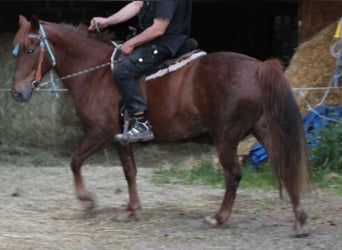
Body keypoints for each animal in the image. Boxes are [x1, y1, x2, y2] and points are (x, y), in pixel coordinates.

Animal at [10, 16, 312, 236]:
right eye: (16, 51)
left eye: (30, 50)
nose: (17, 93)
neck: (96, 73)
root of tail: (258, 67)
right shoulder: (121, 138)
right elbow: (130, 172)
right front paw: (132, 209)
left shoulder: (102, 134)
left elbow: (76, 161)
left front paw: (87, 201)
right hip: (263, 130)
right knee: (285, 166)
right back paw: (299, 220)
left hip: (225, 136)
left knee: (234, 175)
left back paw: (219, 217)